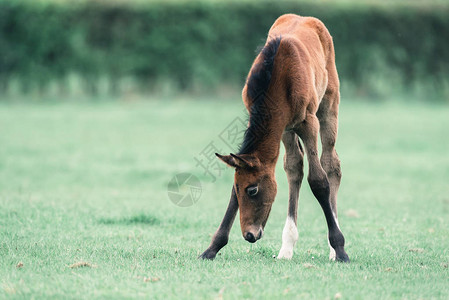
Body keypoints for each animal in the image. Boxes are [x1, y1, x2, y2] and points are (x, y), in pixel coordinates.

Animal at [200, 14, 350, 262]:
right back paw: (286, 247)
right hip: (288, 131)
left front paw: (339, 248)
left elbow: (319, 181)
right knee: (294, 167)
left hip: (329, 104)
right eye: (239, 189)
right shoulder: (281, 126)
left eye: (253, 190)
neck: (277, 77)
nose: (249, 235)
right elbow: (293, 169)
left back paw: (331, 249)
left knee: (331, 164)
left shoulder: (308, 122)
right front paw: (212, 248)